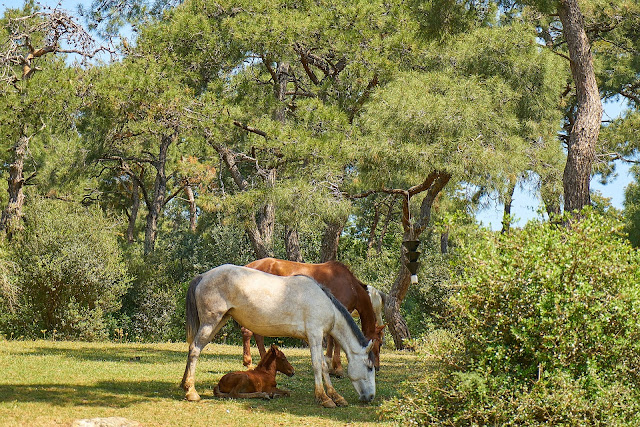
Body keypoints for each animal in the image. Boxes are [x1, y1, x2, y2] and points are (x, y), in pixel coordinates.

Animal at [244, 260, 384, 376]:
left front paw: (330, 365)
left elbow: (331, 340)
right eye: (380, 343)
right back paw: (250, 362)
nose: (377, 367)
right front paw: (338, 368)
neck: (351, 286)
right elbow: (337, 341)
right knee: (249, 332)